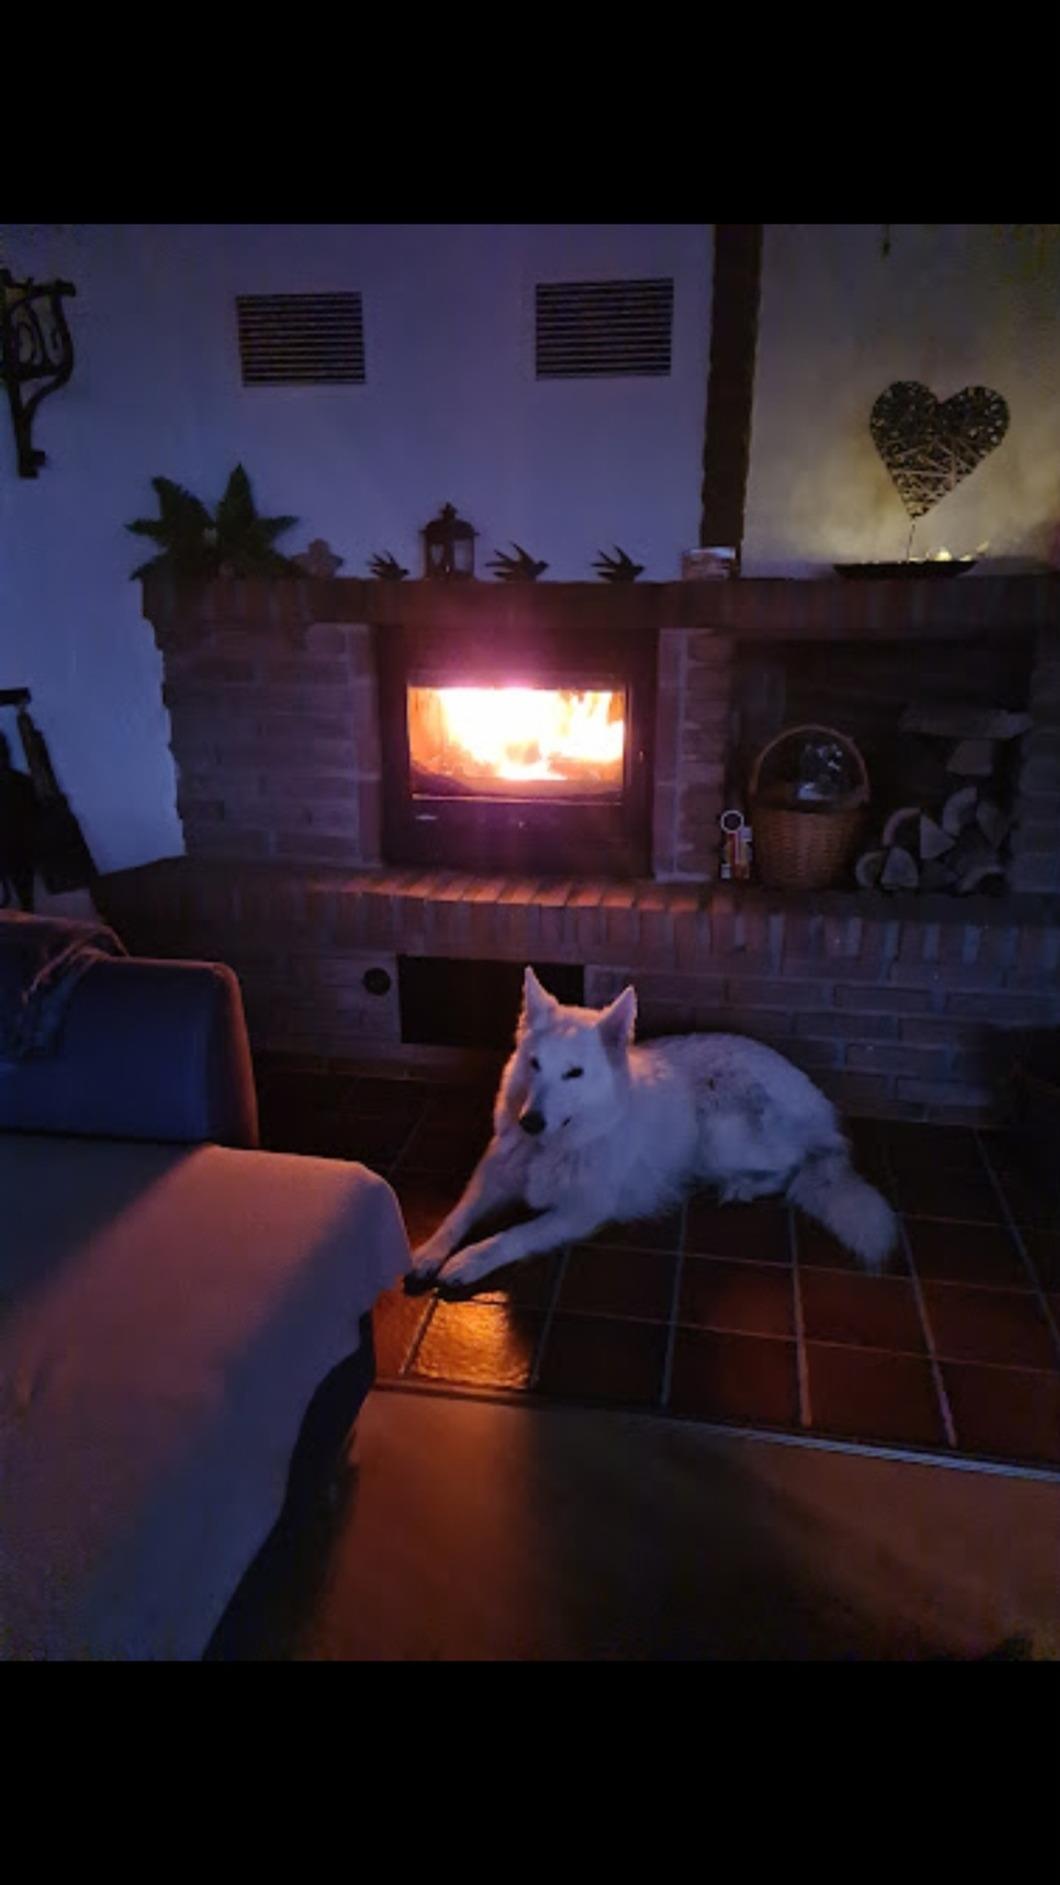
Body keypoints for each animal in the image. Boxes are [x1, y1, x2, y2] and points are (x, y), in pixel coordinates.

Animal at [410, 967, 898, 1289]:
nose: (529, 1122)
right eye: (535, 1065)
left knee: (799, 1165)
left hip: (718, 1132)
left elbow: (514, 1234)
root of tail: (817, 1102)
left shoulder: (581, 1212)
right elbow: (457, 1214)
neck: (556, 1146)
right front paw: (429, 1251)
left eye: (574, 1073)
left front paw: (471, 1260)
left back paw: (744, 1186)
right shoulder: (492, 1175)